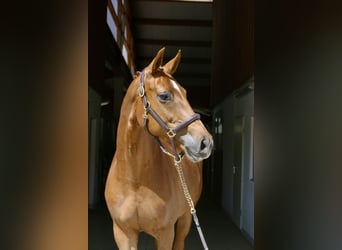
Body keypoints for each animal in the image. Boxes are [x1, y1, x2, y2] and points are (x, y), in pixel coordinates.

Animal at [104, 47, 212, 249]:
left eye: (185, 93)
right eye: (164, 95)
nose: (206, 142)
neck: (135, 181)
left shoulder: (165, 234)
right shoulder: (123, 233)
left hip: (186, 218)